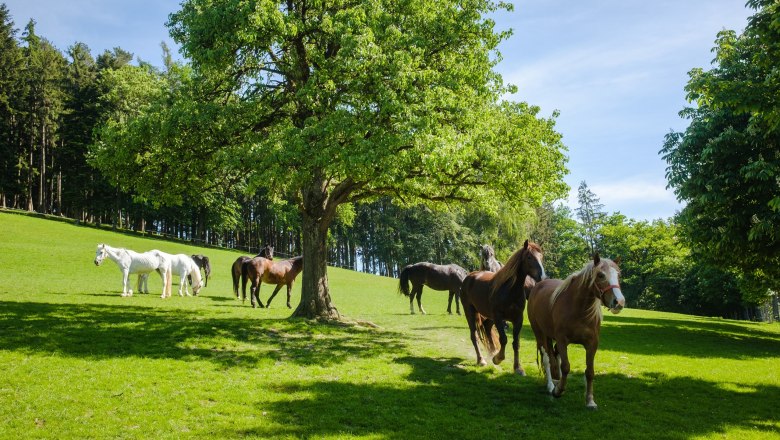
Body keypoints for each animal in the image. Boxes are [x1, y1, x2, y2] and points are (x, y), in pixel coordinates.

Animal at [459, 240, 545, 375]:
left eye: (541, 257)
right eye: (529, 257)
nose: (542, 277)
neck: (510, 289)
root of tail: (469, 277)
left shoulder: (518, 319)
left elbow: (516, 343)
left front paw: (518, 368)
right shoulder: (499, 317)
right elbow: (504, 339)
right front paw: (498, 359)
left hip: (489, 317)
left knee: (487, 329)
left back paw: (492, 352)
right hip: (470, 312)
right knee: (474, 336)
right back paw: (481, 360)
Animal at [527, 254, 625, 409]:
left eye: (618, 275)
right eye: (600, 275)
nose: (619, 302)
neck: (579, 309)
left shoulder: (592, 344)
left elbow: (589, 372)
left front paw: (590, 401)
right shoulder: (562, 340)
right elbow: (566, 366)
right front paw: (558, 391)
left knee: (554, 355)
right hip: (539, 334)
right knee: (547, 358)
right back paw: (551, 385)